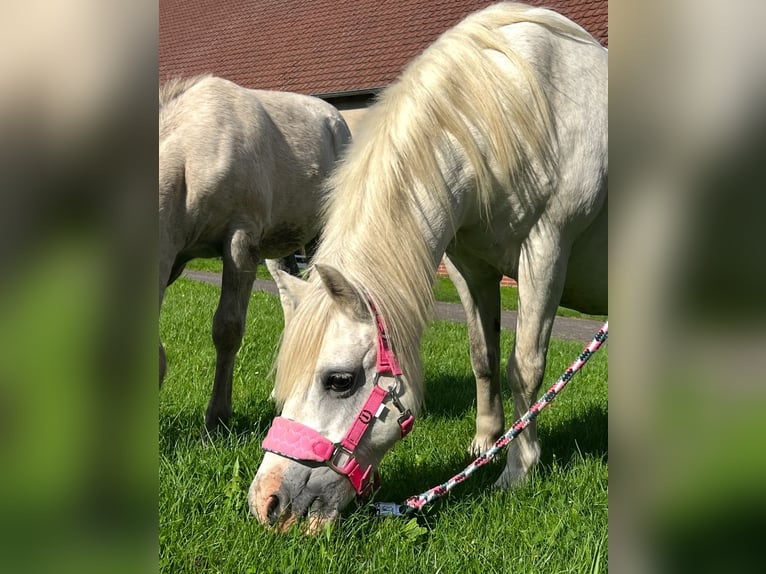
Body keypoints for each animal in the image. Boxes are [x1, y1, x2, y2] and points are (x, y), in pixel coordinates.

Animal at [249, 2, 608, 532]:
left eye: (339, 381)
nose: (267, 504)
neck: (517, 107)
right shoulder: (468, 265)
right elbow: (483, 357)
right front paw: (485, 445)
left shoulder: (547, 248)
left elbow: (524, 367)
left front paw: (518, 469)